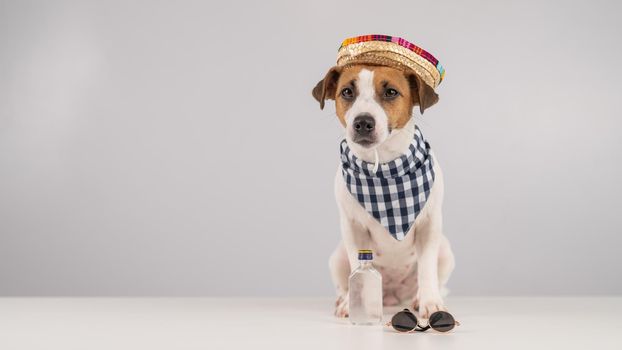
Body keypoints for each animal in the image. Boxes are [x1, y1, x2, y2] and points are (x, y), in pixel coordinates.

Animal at [312, 63, 458, 320]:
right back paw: (344, 299)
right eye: (347, 92)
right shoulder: (353, 228)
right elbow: (355, 262)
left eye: (391, 92)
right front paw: (352, 304)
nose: (363, 122)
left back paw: (419, 298)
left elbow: (427, 269)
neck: (384, 169)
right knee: (344, 279)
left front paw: (431, 303)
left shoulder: (429, 226)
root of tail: (391, 295)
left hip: (445, 251)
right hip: (336, 257)